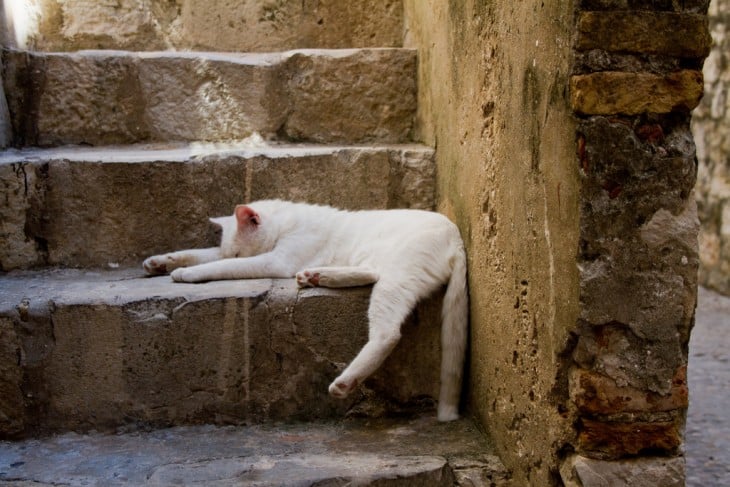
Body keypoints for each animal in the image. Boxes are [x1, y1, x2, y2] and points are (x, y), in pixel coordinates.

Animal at [142, 200, 466, 422]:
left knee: (387, 333)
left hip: (396, 277)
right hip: (378, 264)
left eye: (236, 251)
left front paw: (186, 273)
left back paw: (345, 382)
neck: (287, 223)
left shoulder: (275, 261)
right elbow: (205, 253)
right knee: (369, 273)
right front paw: (160, 262)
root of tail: (457, 237)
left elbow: (223, 265)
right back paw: (315, 276)